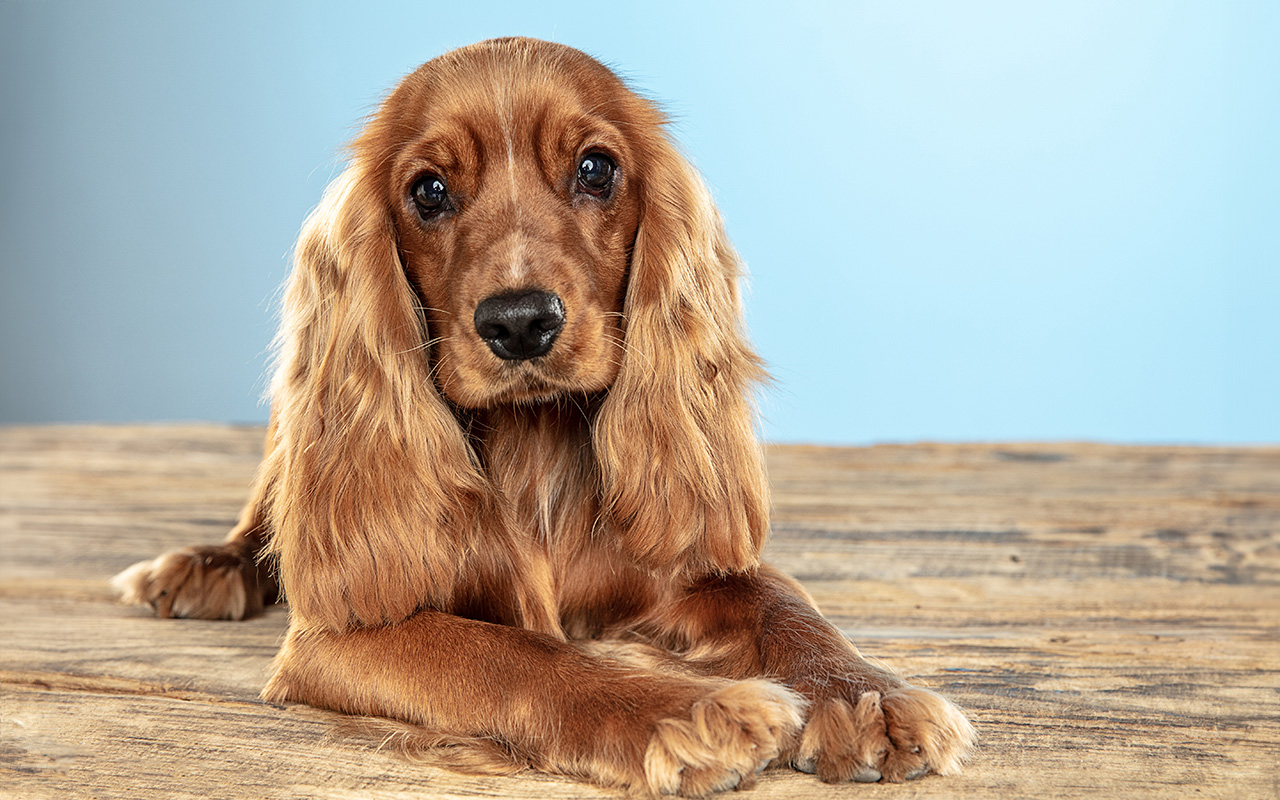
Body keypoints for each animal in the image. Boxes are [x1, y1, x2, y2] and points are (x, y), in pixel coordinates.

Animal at [117, 37, 977, 793]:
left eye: (596, 169)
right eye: (428, 190)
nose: (521, 321)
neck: (534, 450)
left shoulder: (689, 571)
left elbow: (785, 606)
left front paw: (865, 694)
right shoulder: (336, 639)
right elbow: (509, 656)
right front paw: (690, 711)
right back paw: (203, 568)